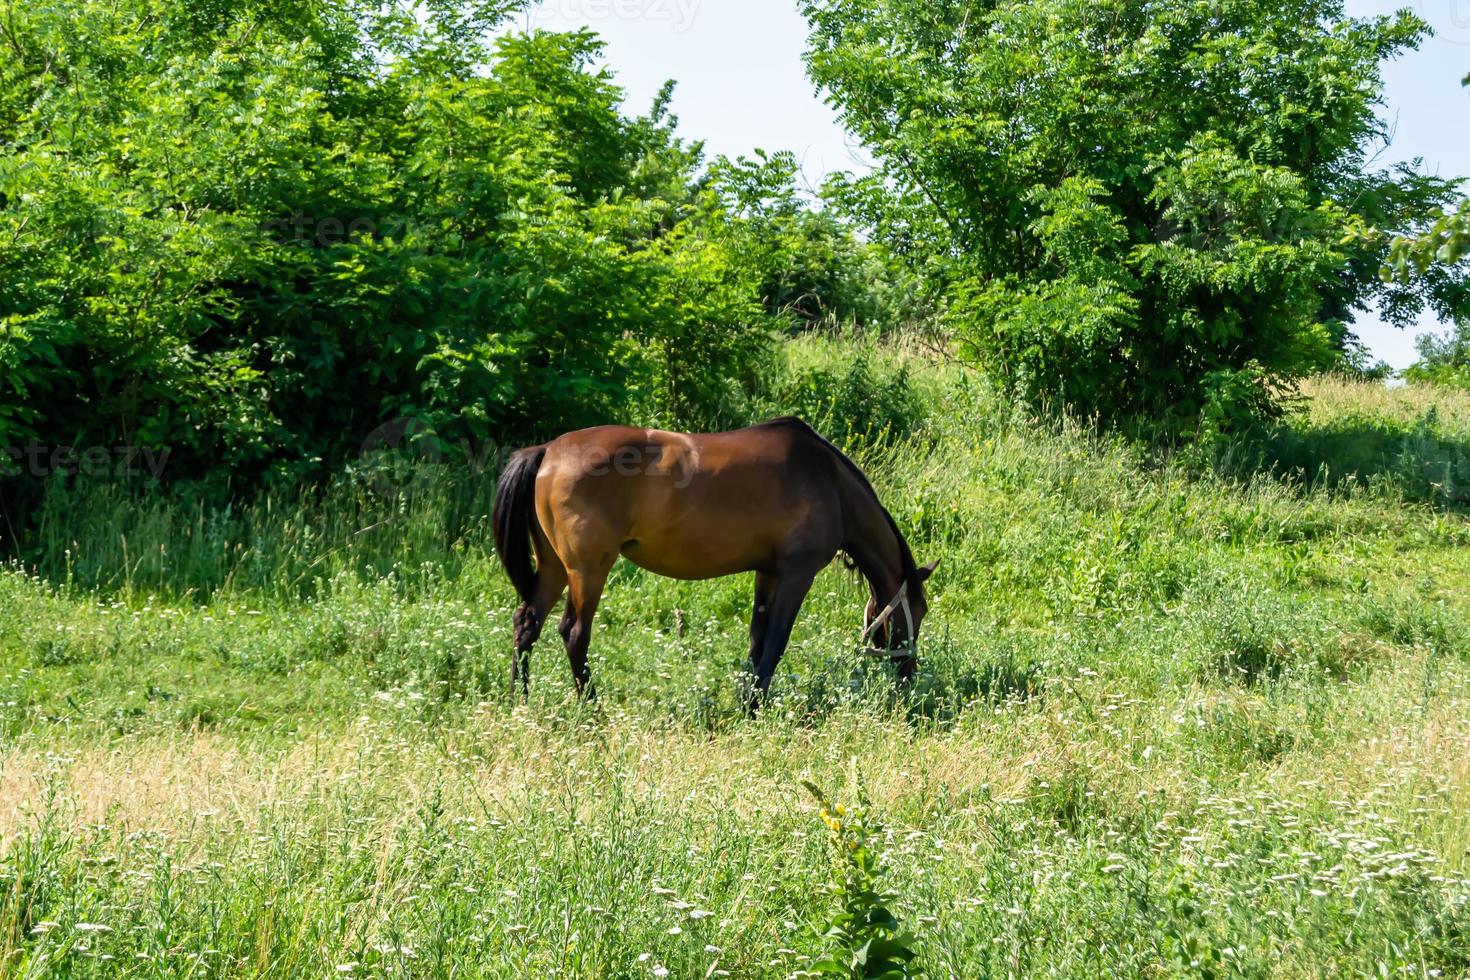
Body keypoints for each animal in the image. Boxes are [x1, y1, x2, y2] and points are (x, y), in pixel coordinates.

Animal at [488, 417, 934, 708]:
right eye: (919, 610)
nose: (908, 674)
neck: (831, 485)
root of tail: (547, 451)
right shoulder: (796, 575)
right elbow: (775, 642)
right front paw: (754, 709)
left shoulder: (767, 573)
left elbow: (757, 642)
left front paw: (747, 699)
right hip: (588, 570)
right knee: (574, 633)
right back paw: (592, 708)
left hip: (553, 568)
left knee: (526, 624)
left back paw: (518, 702)